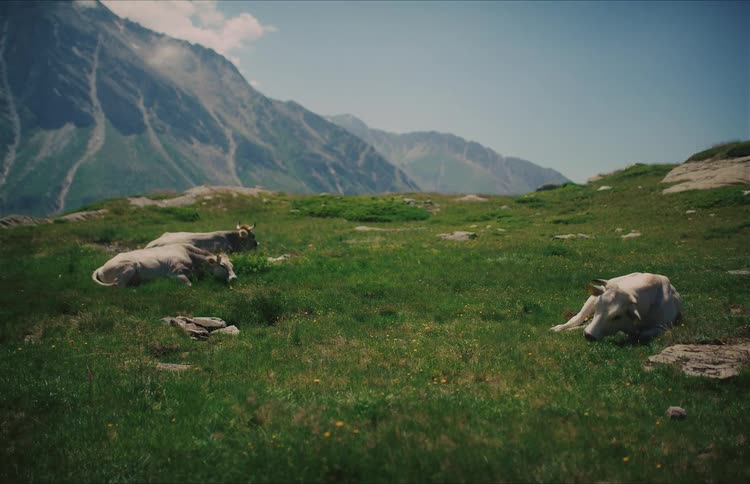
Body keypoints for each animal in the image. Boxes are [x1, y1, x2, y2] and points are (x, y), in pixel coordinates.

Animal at [92, 244, 236, 288]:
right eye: (222, 265)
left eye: (232, 265)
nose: (234, 278)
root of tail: (102, 267)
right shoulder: (175, 273)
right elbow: (189, 285)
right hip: (129, 266)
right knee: (118, 286)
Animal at [550, 272, 682, 341]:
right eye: (597, 307)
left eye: (617, 316)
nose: (588, 335)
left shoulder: (662, 327)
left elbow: (640, 334)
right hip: (591, 299)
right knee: (577, 318)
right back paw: (559, 328)